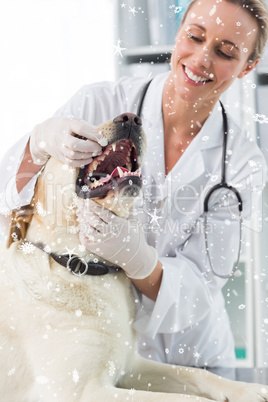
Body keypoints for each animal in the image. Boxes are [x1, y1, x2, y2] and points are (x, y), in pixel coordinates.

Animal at [0, 110, 266, 402]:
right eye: (80, 133)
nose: (130, 118)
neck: (81, 264)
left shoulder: (132, 366)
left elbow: (197, 374)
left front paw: (248, 389)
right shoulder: (83, 390)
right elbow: (186, 399)